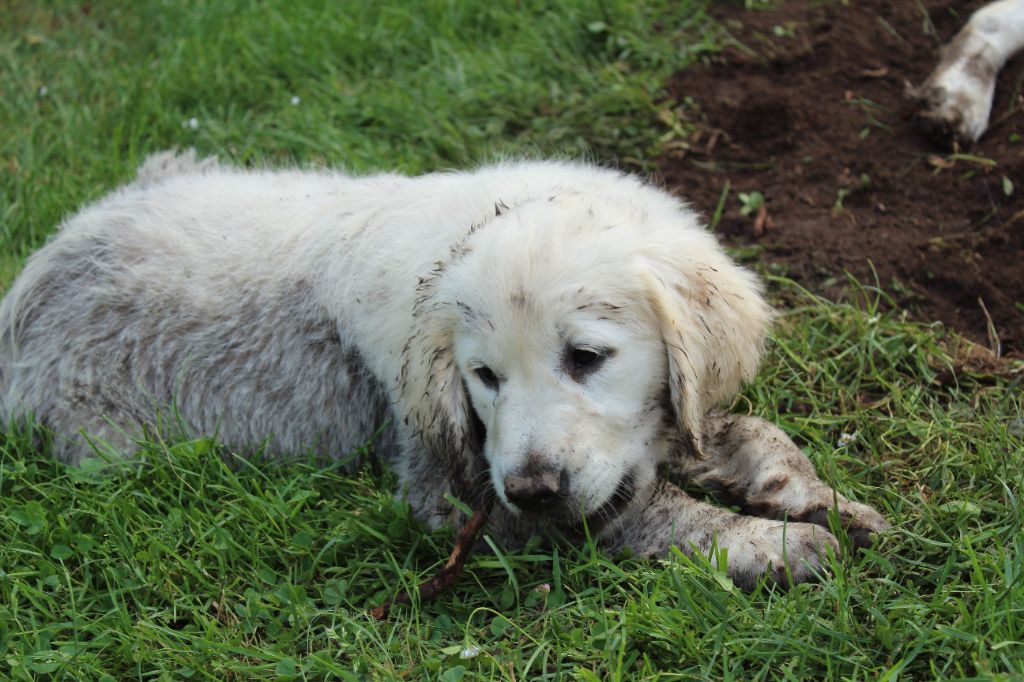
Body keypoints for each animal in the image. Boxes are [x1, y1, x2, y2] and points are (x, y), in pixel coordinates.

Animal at [0, 151, 888, 585]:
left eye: (587, 358)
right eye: (483, 380)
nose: (532, 487)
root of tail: (33, 276)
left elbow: (741, 429)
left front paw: (804, 490)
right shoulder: (455, 491)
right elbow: (648, 513)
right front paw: (768, 543)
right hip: (105, 438)